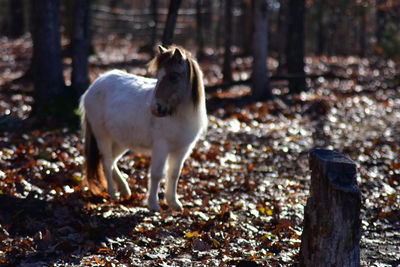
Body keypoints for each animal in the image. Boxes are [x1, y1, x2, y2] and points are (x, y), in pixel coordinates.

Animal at [80, 45, 208, 211]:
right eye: (158, 76)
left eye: (174, 77)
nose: (155, 108)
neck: (178, 115)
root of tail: (94, 85)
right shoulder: (161, 146)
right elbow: (156, 174)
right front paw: (153, 204)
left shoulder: (182, 149)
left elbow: (174, 174)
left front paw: (174, 203)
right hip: (102, 136)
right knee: (107, 163)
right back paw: (113, 193)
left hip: (120, 141)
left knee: (112, 161)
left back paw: (125, 190)